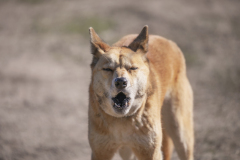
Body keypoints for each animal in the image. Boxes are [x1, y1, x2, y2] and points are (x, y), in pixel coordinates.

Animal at [87, 25, 194, 159]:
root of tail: (167, 40)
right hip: (127, 151)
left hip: (180, 132)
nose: (121, 82)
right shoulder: (100, 152)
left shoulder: (151, 152)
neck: (122, 120)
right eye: (107, 69)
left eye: (132, 68)